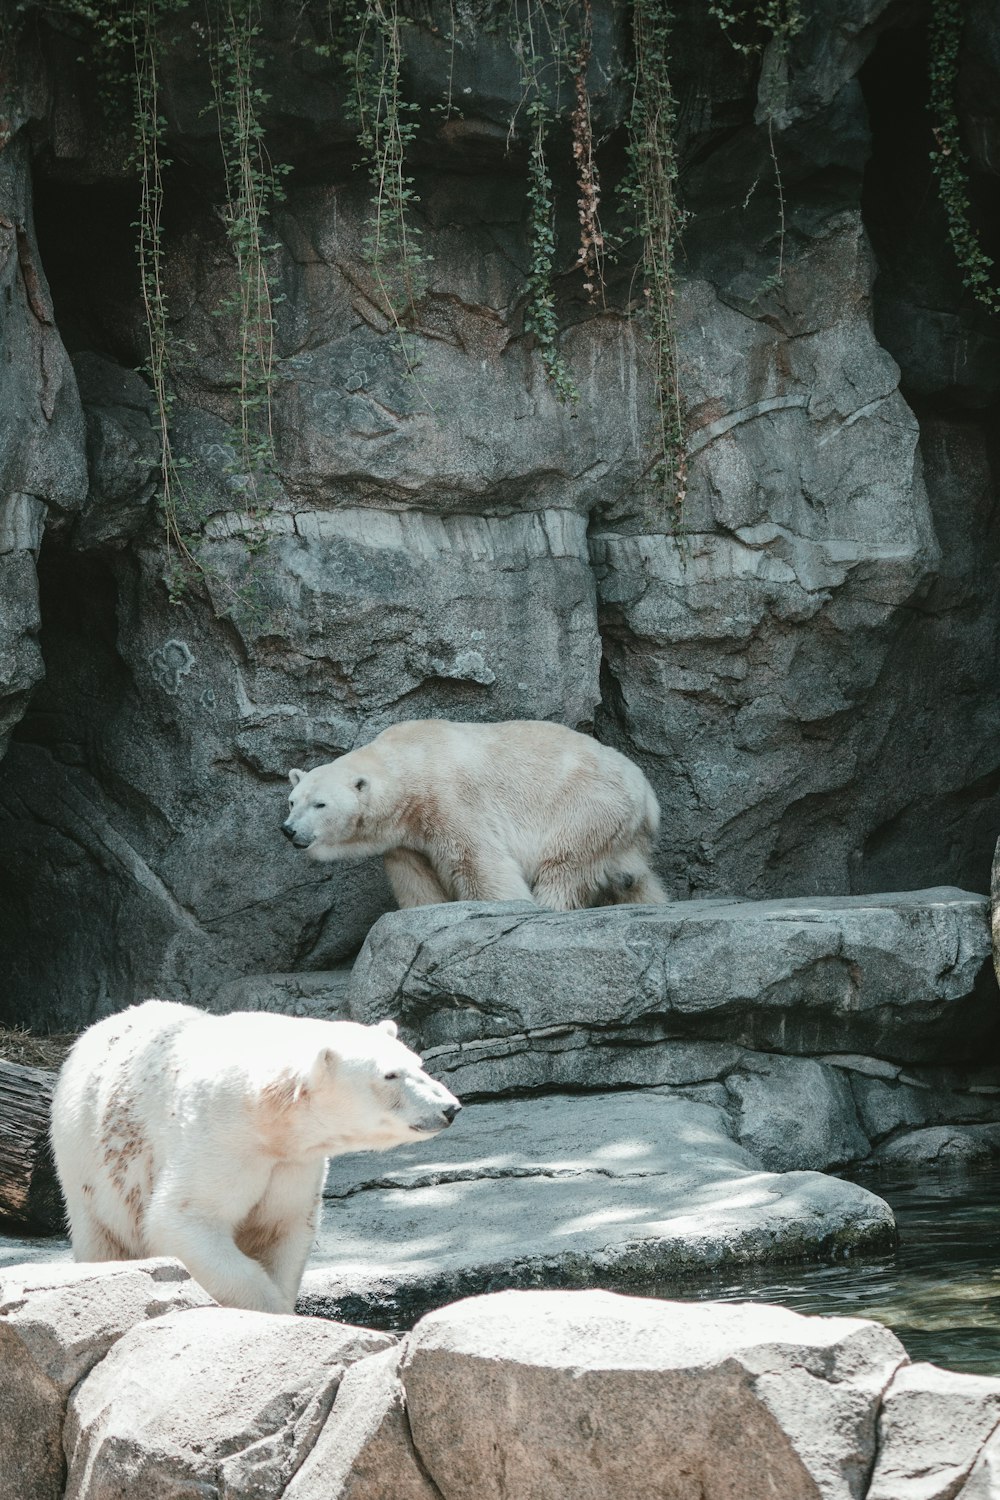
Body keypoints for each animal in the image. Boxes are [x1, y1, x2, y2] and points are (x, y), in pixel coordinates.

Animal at [50, 1008, 461, 1314]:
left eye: (417, 1063)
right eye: (390, 1074)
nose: (450, 1108)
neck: (267, 1110)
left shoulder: (292, 1162)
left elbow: (283, 1225)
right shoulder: (221, 1141)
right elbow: (183, 1220)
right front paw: (271, 1309)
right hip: (85, 1161)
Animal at [281, 717, 668, 906]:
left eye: (320, 804)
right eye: (293, 800)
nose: (289, 830)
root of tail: (647, 794)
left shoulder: (448, 800)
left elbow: (477, 861)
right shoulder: (403, 836)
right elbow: (414, 879)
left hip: (589, 807)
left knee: (564, 867)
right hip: (622, 833)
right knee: (634, 880)